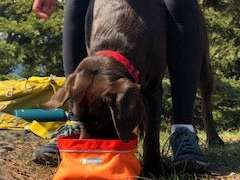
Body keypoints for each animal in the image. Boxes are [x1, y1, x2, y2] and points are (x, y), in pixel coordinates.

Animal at [44, 0, 223, 176]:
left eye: (100, 123)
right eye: (78, 120)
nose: (88, 153)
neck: (116, 40)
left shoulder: (153, 90)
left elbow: (152, 135)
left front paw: (153, 169)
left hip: (203, 59)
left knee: (205, 98)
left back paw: (213, 138)